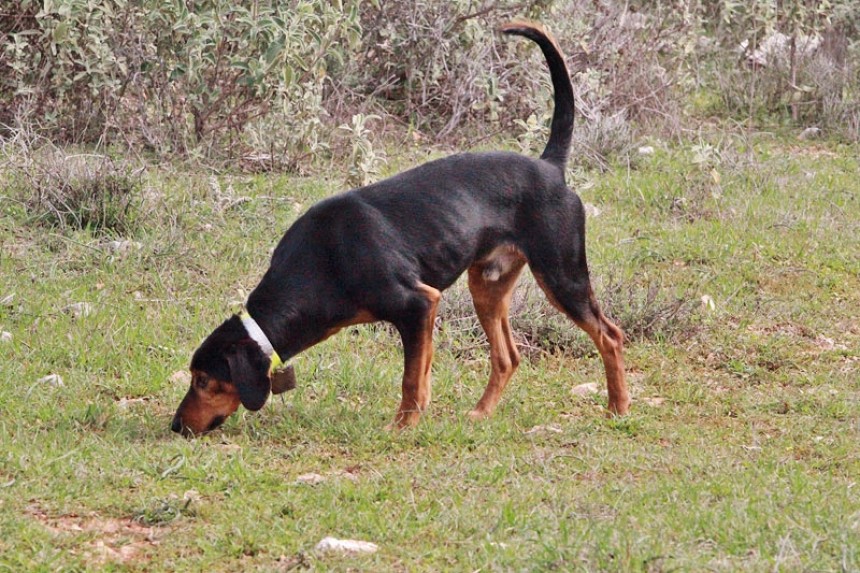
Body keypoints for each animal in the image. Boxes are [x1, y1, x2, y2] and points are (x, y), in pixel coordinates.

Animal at [170, 20, 624, 436]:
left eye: (204, 380)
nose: (176, 426)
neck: (322, 261)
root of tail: (549, 167)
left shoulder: (418, 305)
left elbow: (410, 380)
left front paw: (403, 426)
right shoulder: (424, 313)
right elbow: (420, 374)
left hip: (562, 276)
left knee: (611, 335)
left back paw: (618, 410)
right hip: (488, 286)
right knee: (508, 356)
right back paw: (481, 414)